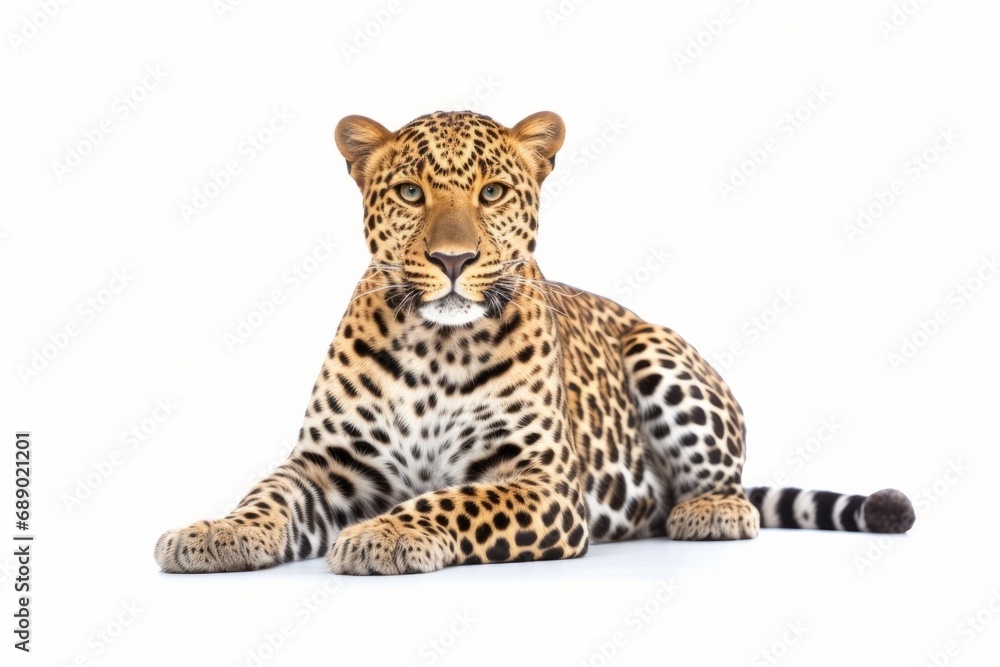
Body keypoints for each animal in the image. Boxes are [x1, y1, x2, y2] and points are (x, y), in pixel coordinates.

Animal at [155, 110, 916, 575]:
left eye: (492, 192)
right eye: (409, 192)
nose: (453, 259)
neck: (434, 348)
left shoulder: (543, 482)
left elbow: (453, 499)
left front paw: (387, 533)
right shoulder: (328, 465)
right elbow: (266, 497)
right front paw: (213, 532)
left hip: (658, 352)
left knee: (731, 490)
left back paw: (710, 510)